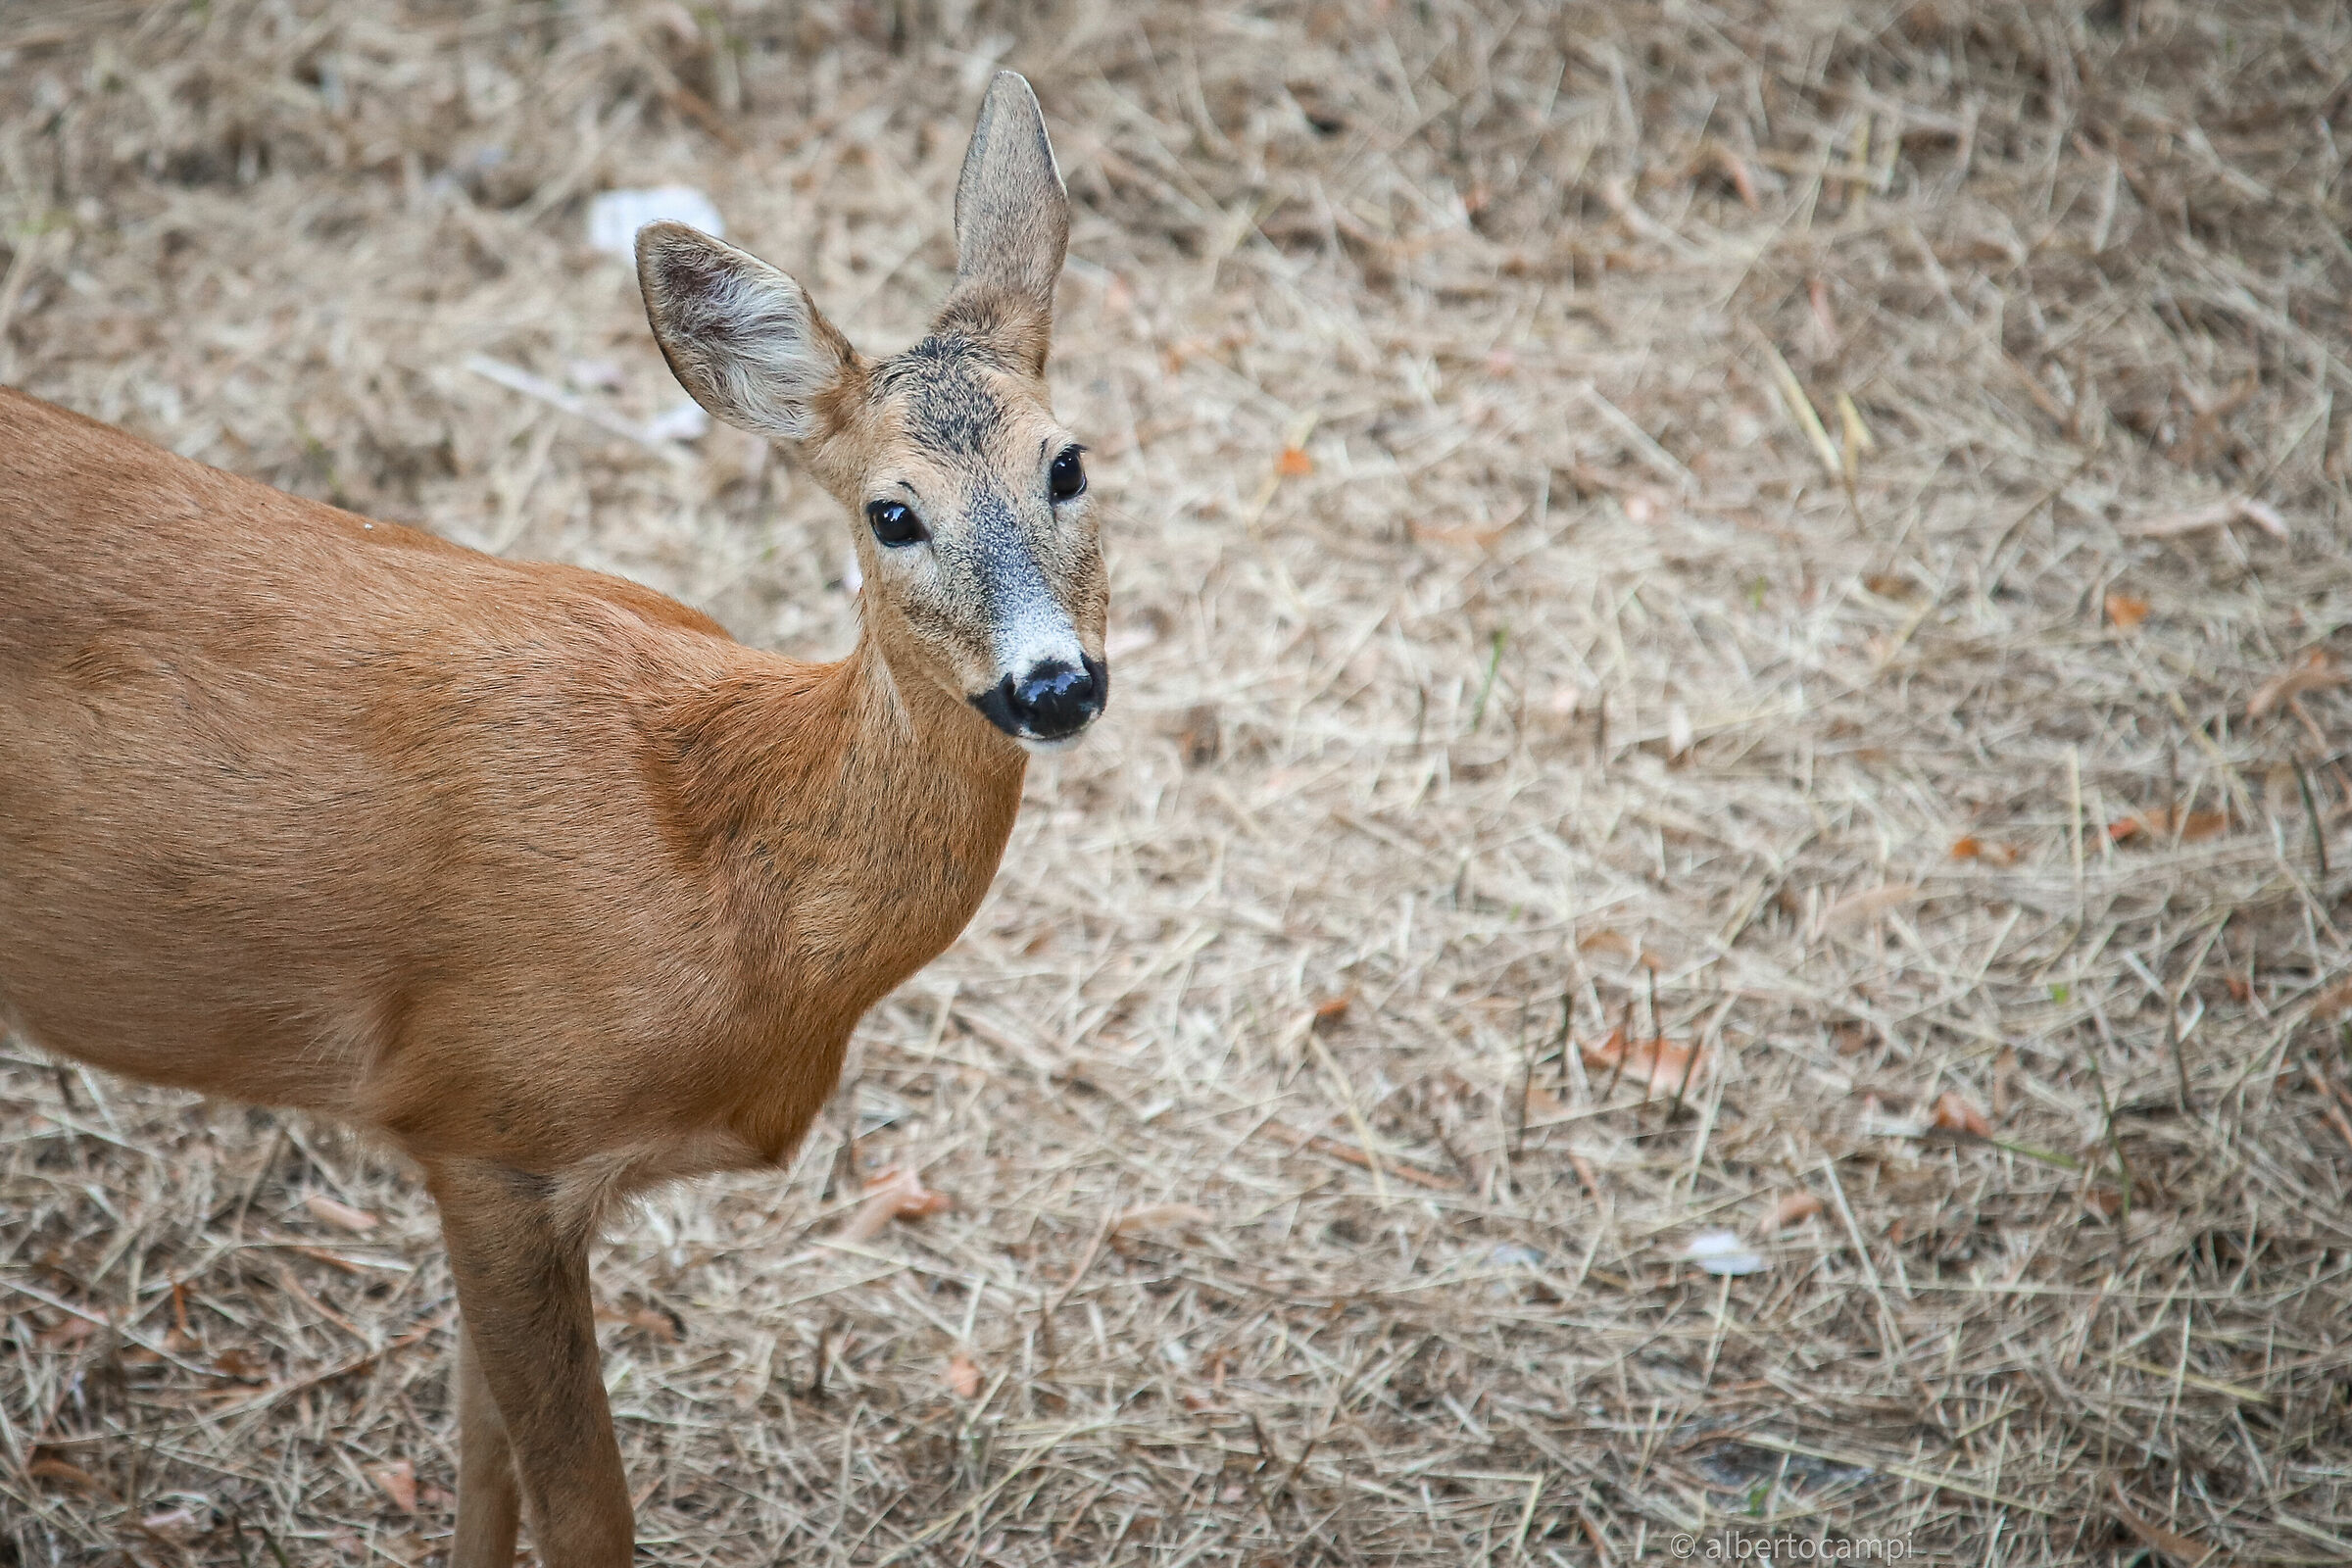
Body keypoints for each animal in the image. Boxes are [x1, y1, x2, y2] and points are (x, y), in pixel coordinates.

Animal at [0, 71, 1099, 1565]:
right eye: (892, 513)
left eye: (1069, 465)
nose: (1055, 682)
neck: (720, 868)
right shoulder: (489, 1125)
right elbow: (585, 1508)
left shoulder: (495, 1170)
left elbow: (485, 1463)